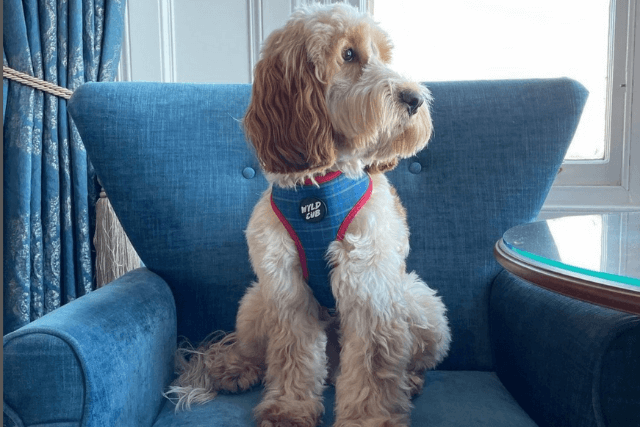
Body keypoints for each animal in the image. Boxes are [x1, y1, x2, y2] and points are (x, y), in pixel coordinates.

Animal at [168, 3, 452, 427]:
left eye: (385, 56)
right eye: (348, 54)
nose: (416, 98)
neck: (318, 188)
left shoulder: (370, 288)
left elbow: (373, 363)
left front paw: (368, 418)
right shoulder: (286, 291)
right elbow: (292, 354)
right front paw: (288, 408)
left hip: (420, 302)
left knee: (405, 357)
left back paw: (411, 382)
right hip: (256, 300)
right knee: (252, 349)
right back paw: (233, 367)